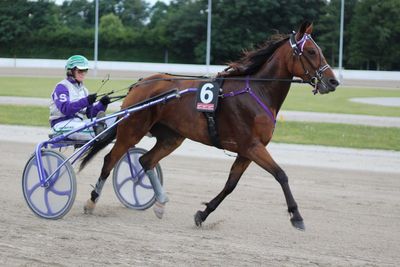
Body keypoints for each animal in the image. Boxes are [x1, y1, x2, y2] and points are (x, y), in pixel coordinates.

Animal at [80, 21, 338, 231]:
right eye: (312, 51)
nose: (333, 81)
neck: (257, 91)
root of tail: (141, 83)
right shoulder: (253, 146)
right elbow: (281, 175)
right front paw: (297, 216)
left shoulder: (246, 152)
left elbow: (230, 185)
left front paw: (203, 214)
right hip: (132, 128)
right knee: (111, 159)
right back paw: (91, 201)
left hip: (171, 137)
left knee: (145, 160)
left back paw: (161, 204)